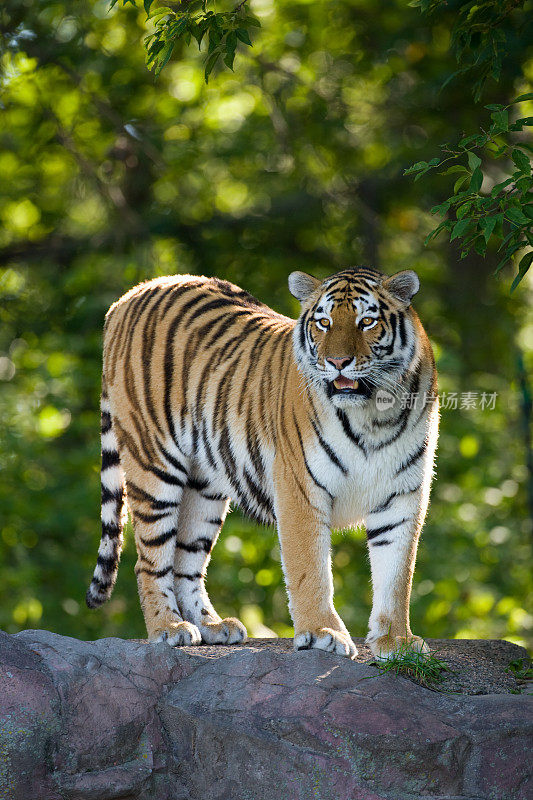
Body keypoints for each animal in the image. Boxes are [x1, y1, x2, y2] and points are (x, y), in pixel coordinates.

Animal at [86, 266, 436, 660]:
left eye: (367, 322)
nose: (337, 363)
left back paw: (211, 626)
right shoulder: (301, 488)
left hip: (204, 486)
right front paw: (322, 633)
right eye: (324, 322)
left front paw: (397, 641)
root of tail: (133, 292)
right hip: (154, 464)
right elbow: (310, 568)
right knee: (149, 560)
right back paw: (168, 628)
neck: (375, 414)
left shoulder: (403, 496)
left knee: (185, 561)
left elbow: (397, 574)